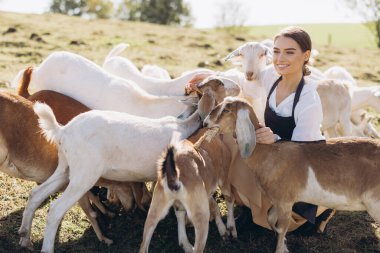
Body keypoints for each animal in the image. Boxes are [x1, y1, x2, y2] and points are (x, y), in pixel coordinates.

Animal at [205, 96, 380, 253]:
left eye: (227, 110)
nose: (205, 123)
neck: (270, 154)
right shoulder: (278, 201)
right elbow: (271, 219)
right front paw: (285, 245)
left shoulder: (285, 201)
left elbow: (282, 227)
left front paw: (280, 249)